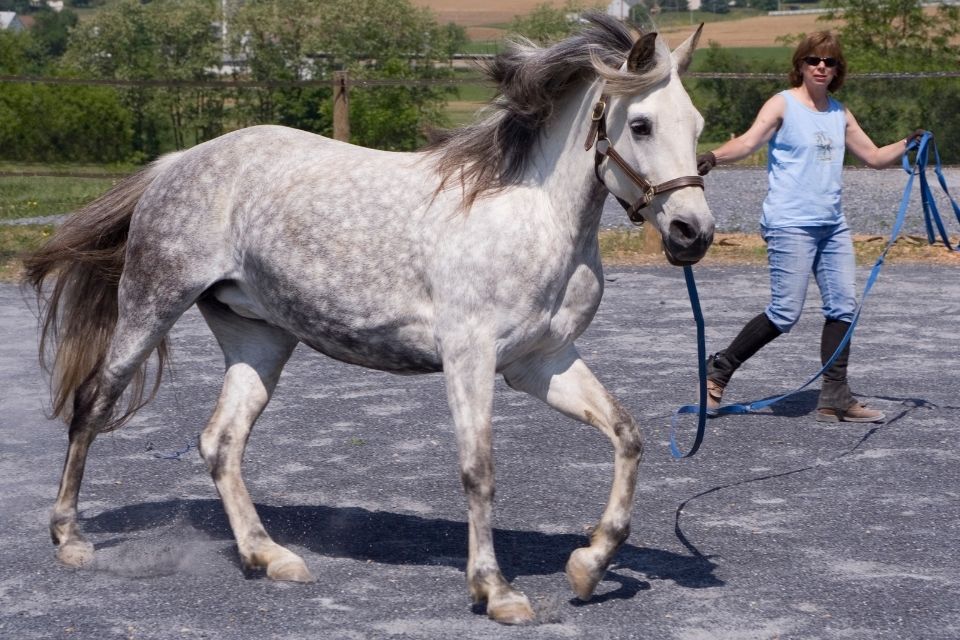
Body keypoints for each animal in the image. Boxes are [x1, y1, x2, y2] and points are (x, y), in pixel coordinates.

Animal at [26, 15, 712, 624]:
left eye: (698, 124)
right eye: (642, 124)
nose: (692, 233)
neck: (533, 216)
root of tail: (175, 164)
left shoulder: (540, 363)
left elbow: (627, 436)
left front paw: (589, 565)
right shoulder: (469, 356)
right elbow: (479, 470)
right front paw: (497, 592)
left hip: (259, 338)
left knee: (221, 440)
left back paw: (269, 557)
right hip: (150, 307)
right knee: (91, 406)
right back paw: (72, 540)